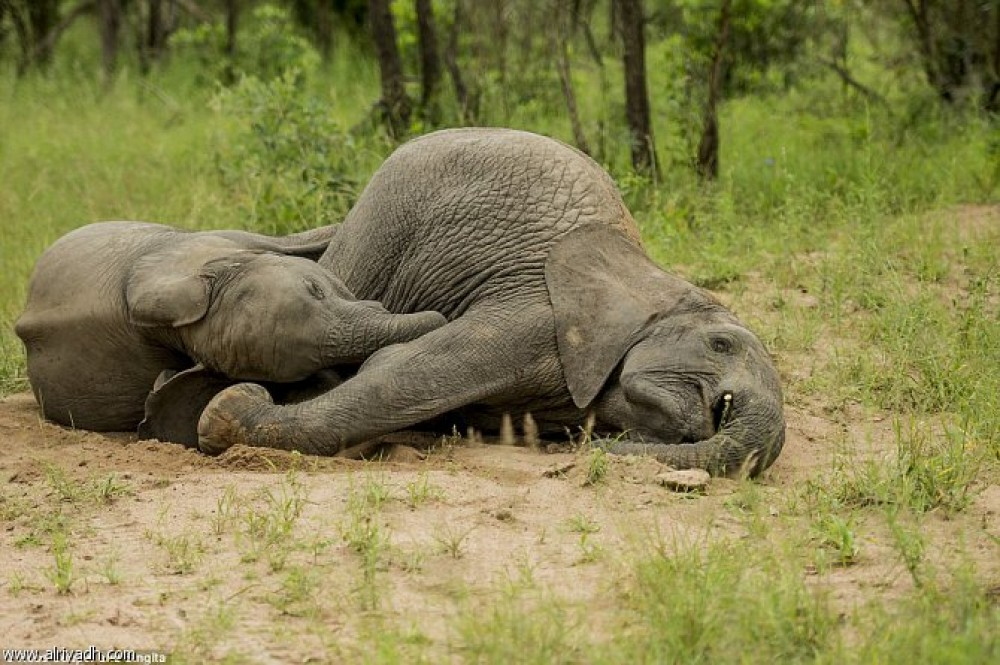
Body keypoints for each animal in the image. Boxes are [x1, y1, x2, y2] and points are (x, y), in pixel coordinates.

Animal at [199, 127, 784, 474]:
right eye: (722, 344)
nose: (579, 457)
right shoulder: (536, 316)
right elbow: (394, 378)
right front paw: (226, 414)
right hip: (381, 222)